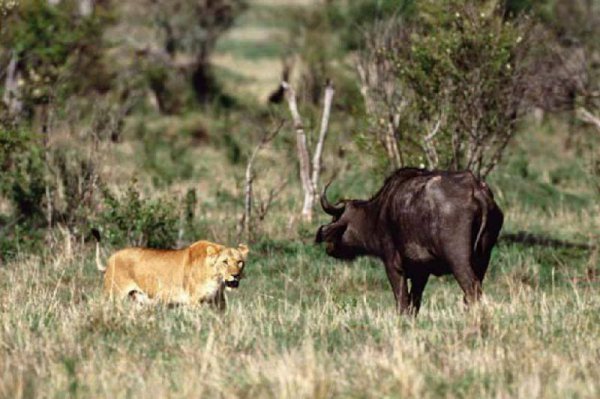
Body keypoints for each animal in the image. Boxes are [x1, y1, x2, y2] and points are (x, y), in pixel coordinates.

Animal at [316, 168, 504, 316]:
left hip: (459, 261)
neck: (378, 214)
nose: (329, 247)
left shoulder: (393, 266)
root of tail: (475, 190)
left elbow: (402, 301)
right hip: (483, 260)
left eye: (335, 218)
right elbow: (415, 302)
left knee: (472, 290)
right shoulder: (421, 273)